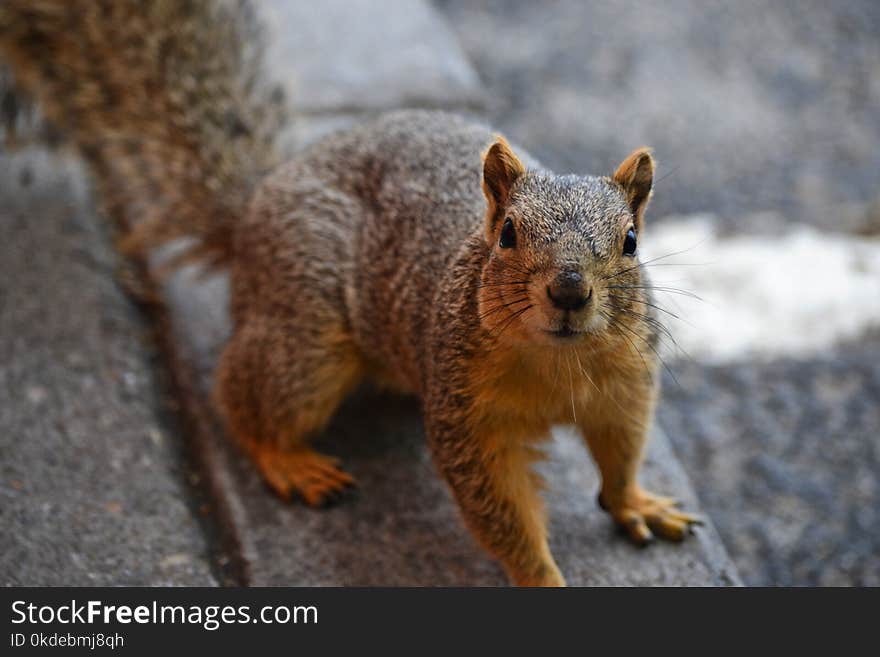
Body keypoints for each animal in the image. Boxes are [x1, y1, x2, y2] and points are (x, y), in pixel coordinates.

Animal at [1, 0, 700, 584]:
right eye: (506, 233)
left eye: (631, 240)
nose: (570, 290)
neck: (558, 362)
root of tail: (254, 206)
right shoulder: (466, 413)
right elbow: (499, 508)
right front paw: (541, 578)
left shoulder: (626, 381)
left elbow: (622, 450)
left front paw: (636, 502)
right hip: (306, 338)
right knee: (241, 394)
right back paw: (289, 460)